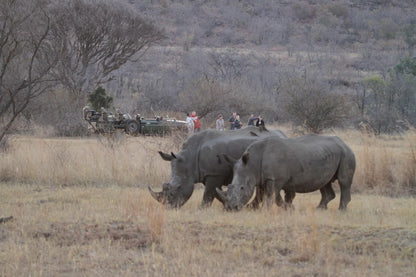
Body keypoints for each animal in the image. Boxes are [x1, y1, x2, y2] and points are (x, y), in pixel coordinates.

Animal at [148, 125, 288, 207]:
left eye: (178, 188)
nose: (169, 207)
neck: (189, 159)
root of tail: (283, 135)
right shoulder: (211, 174)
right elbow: (215, 193)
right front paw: (226, 204)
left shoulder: (214, 174)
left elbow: (208, 195)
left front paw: (203, 209)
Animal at [216, 134, 356, 209]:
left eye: (242, 188)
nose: (230, 208)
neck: (252, 163)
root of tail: (345, 143)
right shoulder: (262, 177)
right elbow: (264, 195)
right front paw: (252, 208)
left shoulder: (274, 179)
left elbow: (271, 195)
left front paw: (265, 210)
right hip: (328, 154)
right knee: (324, 183)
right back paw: (319, 209)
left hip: (346, 154)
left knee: (344, 182)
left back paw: (341, 210)